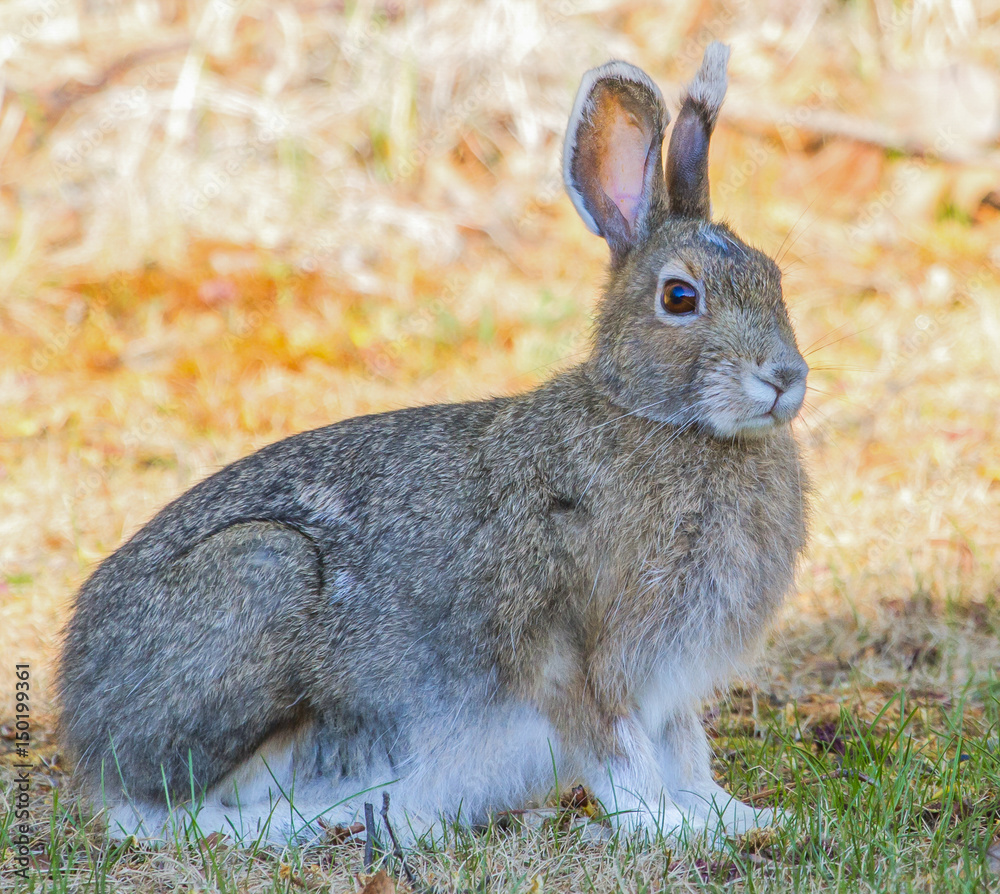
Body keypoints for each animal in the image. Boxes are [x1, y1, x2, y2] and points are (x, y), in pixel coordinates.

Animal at [57, 41, 808, 847]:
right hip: (259, 576)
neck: (658, 420)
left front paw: (744, 818)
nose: (784, 377)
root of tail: (81, 709)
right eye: (679, 297)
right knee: (160, 807)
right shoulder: (577, 659)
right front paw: (671, 828)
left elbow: (687, 755)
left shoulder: (668, 689)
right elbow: (622, 759)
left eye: (774, 276)